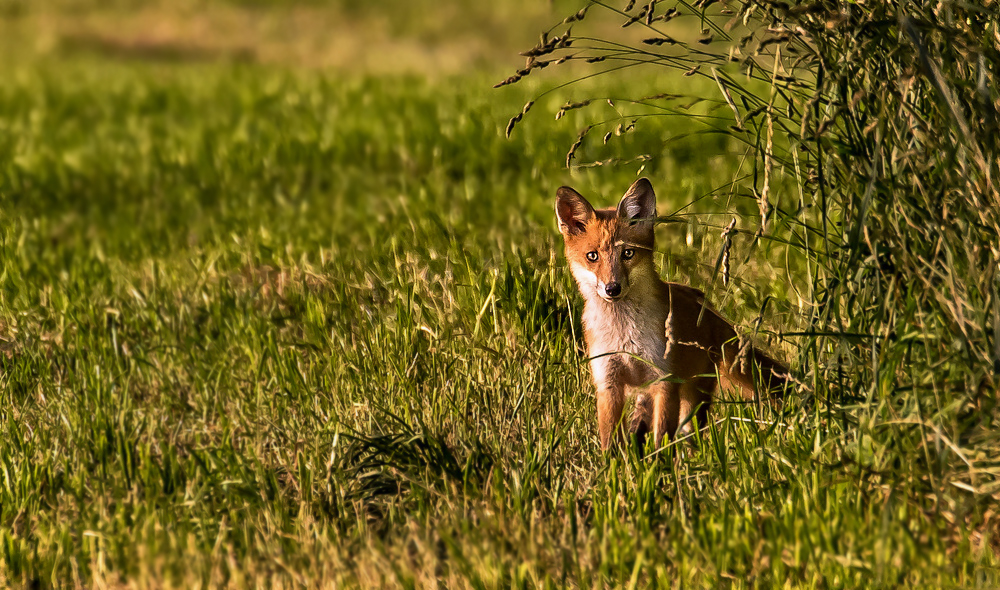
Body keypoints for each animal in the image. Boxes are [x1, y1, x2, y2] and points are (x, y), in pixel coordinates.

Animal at [556, 178, 788, 450]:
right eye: (592, 256)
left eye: (628, 253)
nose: (612, 288)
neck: (625, 335)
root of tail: (708, 308)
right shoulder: (608, 383)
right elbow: (610, 442)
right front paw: (612, 462)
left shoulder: (664, 380)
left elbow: (661, 439)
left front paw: (660, 462)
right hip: (647, 396)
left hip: (692, 395)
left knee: (688, 434)